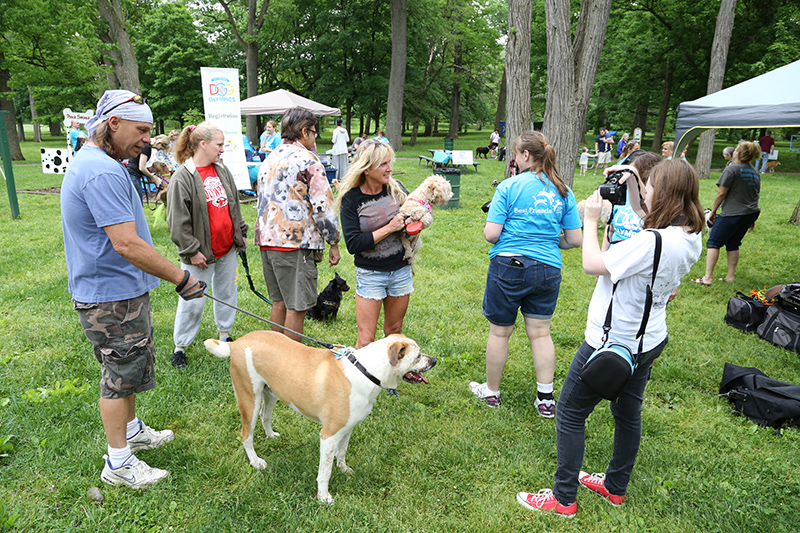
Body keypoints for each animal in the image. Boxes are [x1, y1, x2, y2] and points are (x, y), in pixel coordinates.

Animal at [203, 330, 434, 500]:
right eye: (418, 356)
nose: (435, 361)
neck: (365, 370)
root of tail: (237, 343)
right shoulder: (328, 435)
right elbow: (325, 471)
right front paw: (324, 497)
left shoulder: (348, 428)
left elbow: (342, 453)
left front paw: (344, 469)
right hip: (249, 398)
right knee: (246, 435)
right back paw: (256, 462)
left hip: (270, 393)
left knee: (265, 416)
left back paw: (270, 436)